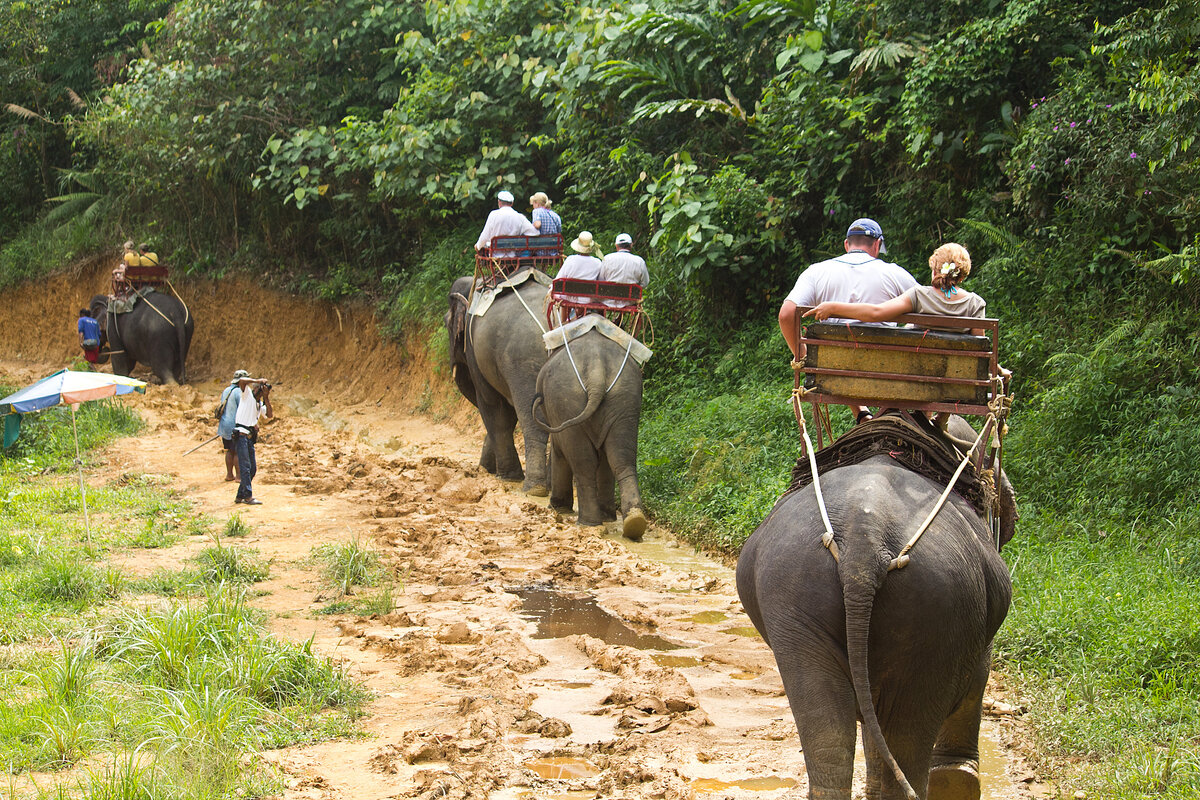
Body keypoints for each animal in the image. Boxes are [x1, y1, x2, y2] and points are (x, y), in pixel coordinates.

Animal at [446, 275, 549, 494]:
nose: (482, 468)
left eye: (445, 323)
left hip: (525, 363)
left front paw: (506, 476)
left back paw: (534, 489)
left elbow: (493, 407)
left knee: (534, 422)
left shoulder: (474, 351)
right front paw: (486, 469)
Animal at [532, 321, 648, 542]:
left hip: (567, 401)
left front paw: (557, 508)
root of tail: (597, 370)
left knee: (583, 461)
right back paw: (634, 522)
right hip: (625, 399)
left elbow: (560, 451)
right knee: (621, 458)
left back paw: (588, 522)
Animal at [734, 412, 1017, 800]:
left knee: (827, 726)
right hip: (939, 611)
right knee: (908, 732)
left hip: (792, 596)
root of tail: (864, 540)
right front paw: (957, 778)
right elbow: (979, 675)